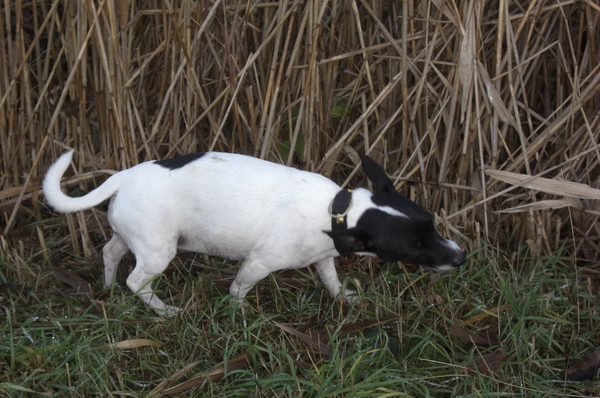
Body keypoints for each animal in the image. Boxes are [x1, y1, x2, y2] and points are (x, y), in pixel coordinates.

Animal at [44, 151, 466, 316]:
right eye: (413, 248)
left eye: (431, 222)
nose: (462, 257)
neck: (339, 211)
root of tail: (124, 176)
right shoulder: (259, 263)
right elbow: (238, 289)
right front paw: (240, 312)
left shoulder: (324, 258)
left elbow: (330, 280)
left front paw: (345, 297)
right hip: (158, 251)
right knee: (137, 282)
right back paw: (165, 311)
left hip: (134, 237)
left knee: (111, 253)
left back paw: (107, 288)